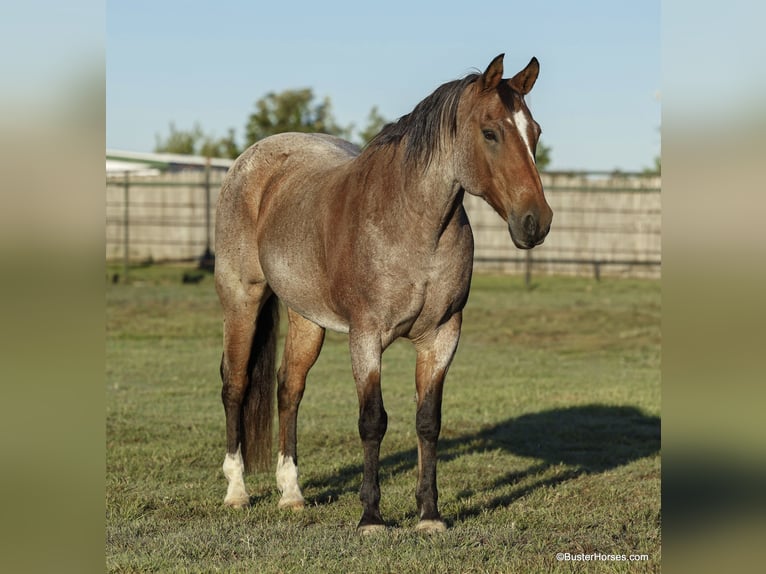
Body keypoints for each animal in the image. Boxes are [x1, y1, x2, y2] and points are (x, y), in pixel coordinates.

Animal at [214, 53, 552, 534]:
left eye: (535, 131)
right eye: (490, 132)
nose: (536, 222)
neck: (412, 223)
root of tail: (251, 161)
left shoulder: (441, 336)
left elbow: (428, 422)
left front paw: (429, 515)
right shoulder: (366, 337)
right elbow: (373, 421)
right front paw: (371, 516)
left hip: (306, 318)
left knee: (289, 389)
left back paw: (292, 494)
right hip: (241, 300)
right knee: (236, 386)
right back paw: (237, 492)